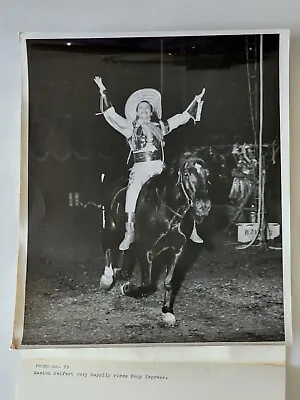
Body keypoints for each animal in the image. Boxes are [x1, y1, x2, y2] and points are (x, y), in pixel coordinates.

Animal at [99, 148, 212, 326]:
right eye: (187, 174)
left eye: (207, 173)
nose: (204, 206)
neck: (168, 214)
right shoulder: (145, 251)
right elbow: (147, 286)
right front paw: (126, 288)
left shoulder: (176, 250)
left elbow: (169, 282)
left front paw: (167, 312)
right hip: (111, 226)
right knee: (108, 246)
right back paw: (107, 278)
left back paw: (121, 272)